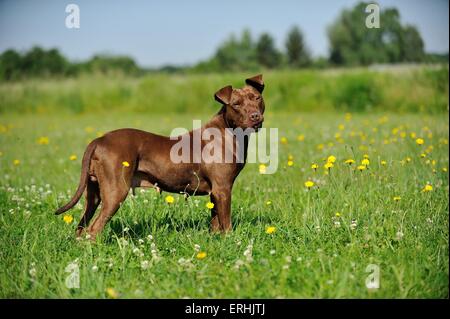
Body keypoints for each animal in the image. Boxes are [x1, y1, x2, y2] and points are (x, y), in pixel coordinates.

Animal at [57, 75, 268, 240]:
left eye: (257, 98)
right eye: (236, 104)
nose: (255, 116)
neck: (229, 131)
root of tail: (99, 139)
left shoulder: (215, 192)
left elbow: (216, 223)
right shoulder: (223, 189)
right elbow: (227, 225)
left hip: (93, 194)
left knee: (81, 227)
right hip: (116, 191)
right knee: (94, 229)